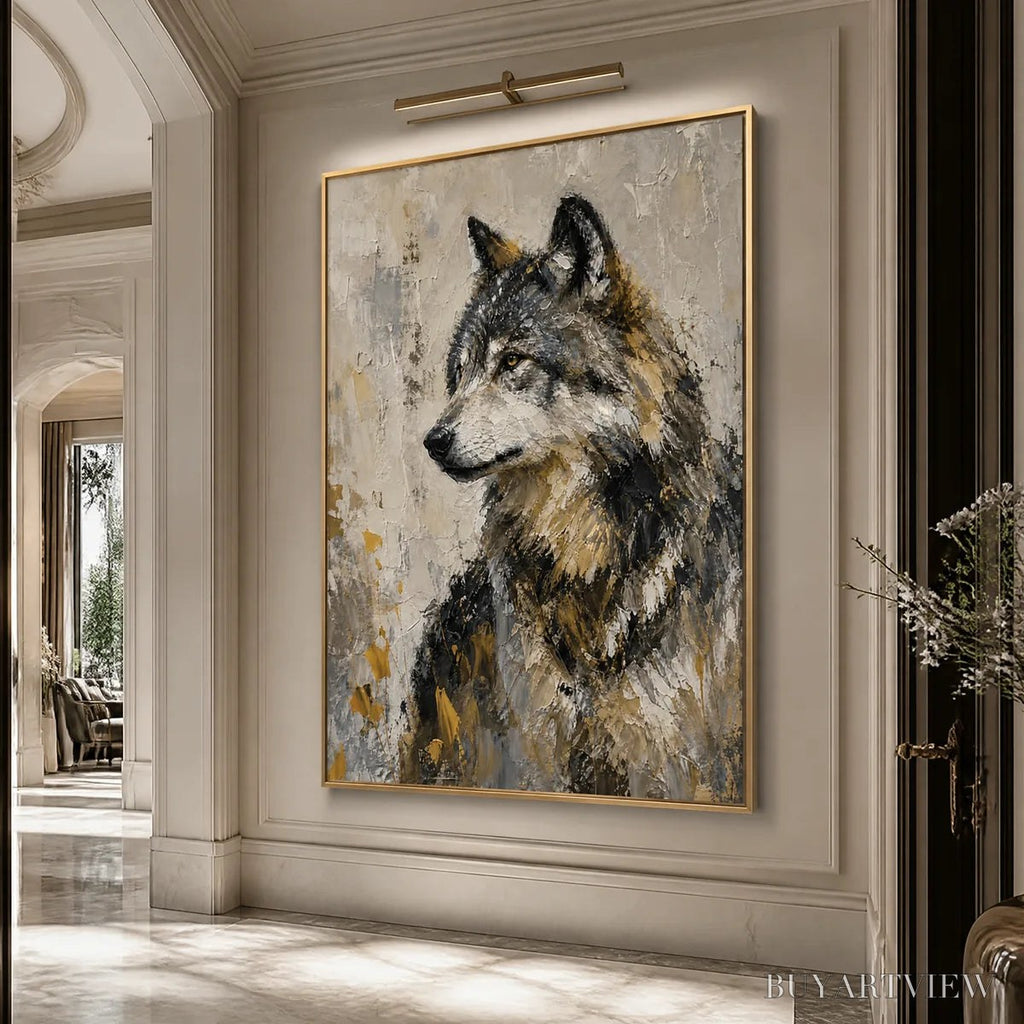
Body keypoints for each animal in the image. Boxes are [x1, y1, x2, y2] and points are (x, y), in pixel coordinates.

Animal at [402, 194, 744, 803]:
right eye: (461, 372)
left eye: (513, 362)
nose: (433, 441)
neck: (579, 558)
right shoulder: (537, 749)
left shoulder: (671, 762)